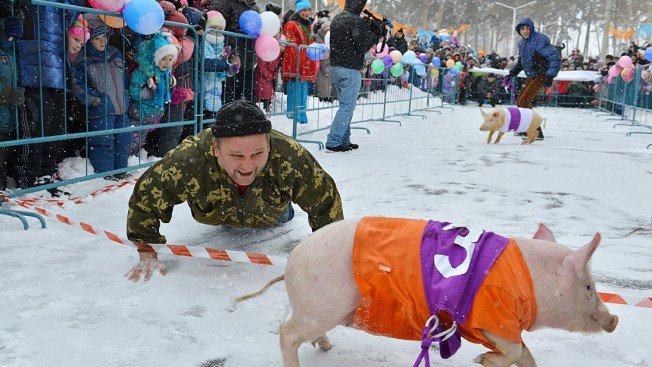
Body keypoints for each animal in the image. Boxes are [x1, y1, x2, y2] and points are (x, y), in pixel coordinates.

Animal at [237, 218, 620, 367]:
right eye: (589, 286)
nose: (614, 319)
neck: (529, 283)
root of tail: (291, 261)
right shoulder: (491, 317)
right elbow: (513, 349)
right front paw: (481, 361)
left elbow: (526, 355)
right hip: (322, 303)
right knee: (286, 332)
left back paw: (328, 347)